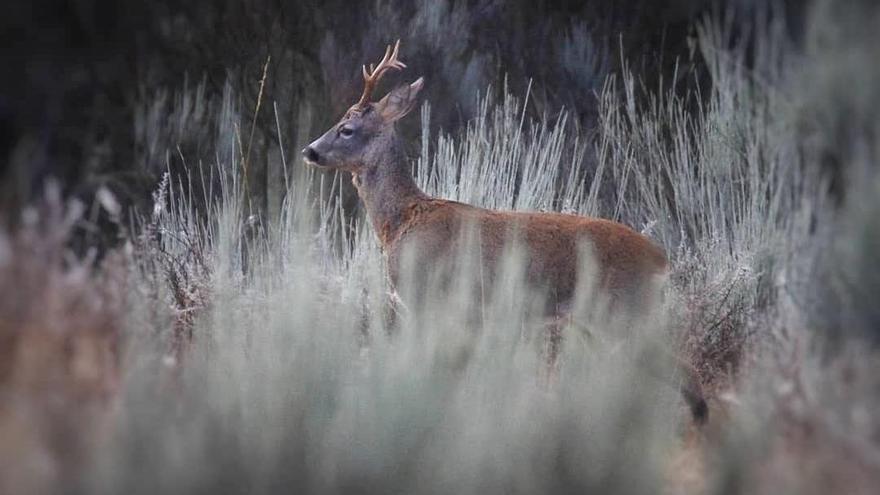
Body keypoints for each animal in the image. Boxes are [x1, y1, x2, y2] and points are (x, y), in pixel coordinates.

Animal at [302, 40, 708, 424]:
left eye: (346, 129)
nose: (310, 151)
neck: (402, 219)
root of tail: (660, 259)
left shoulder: (428, 298)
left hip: (622, 312)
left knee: (687, 378)